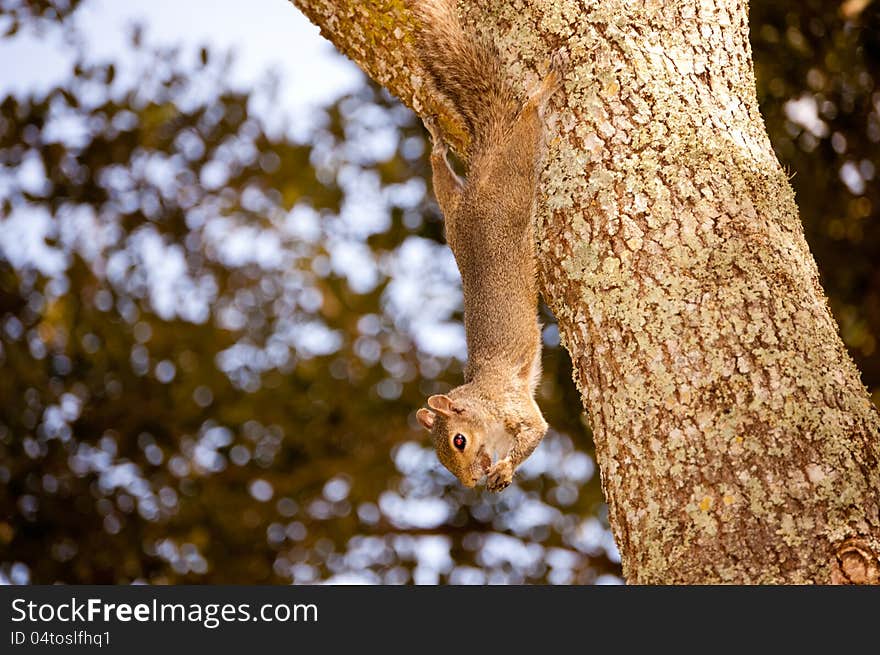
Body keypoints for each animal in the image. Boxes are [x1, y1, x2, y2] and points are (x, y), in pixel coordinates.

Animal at [410, 0, 568, 492]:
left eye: (458, 440)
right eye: (442, 458)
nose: (471, 482)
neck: (480, 398)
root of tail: (479, 179)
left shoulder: (510, 402)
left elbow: (537, 430)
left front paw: (505, 468)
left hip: (511, 182)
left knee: (526, 127)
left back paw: (543, 90)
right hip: (452, 216)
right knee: (442, 180)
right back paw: (437, 145)